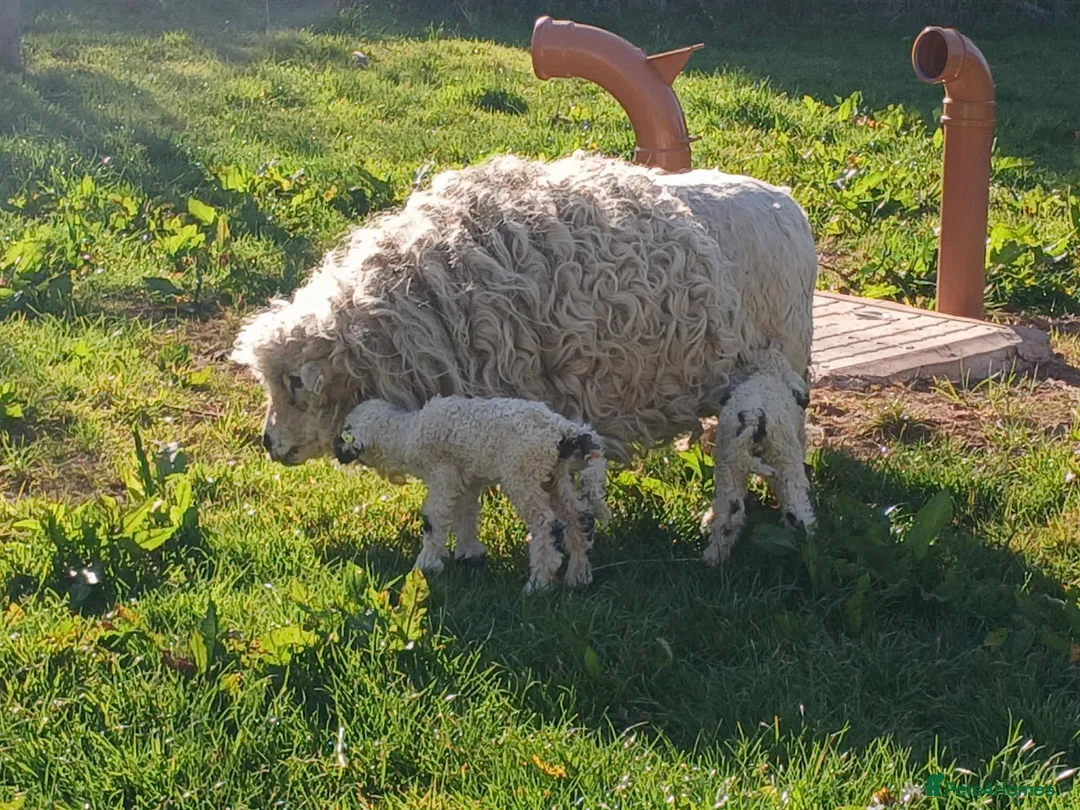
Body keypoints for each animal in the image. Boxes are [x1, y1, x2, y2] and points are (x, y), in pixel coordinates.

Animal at [332, 395, 611, 592]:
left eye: (346, 430)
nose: (335, 450)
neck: (407, 433)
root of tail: (566, 430)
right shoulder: (466, 480)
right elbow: (465, 514)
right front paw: (469, 555)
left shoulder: (443, 475)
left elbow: (435, 520)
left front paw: (425, 565)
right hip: (553, 476)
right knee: (579, 517)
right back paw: (578, 576)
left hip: (523, 475)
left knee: (546, 526)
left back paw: (538, 584)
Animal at [698, 363, 816, 566]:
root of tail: (752, 421)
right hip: (786, 461)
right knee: (798, 511)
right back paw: (806, 547)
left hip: (729, 470)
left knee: (729, 515)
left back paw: (713, 557)